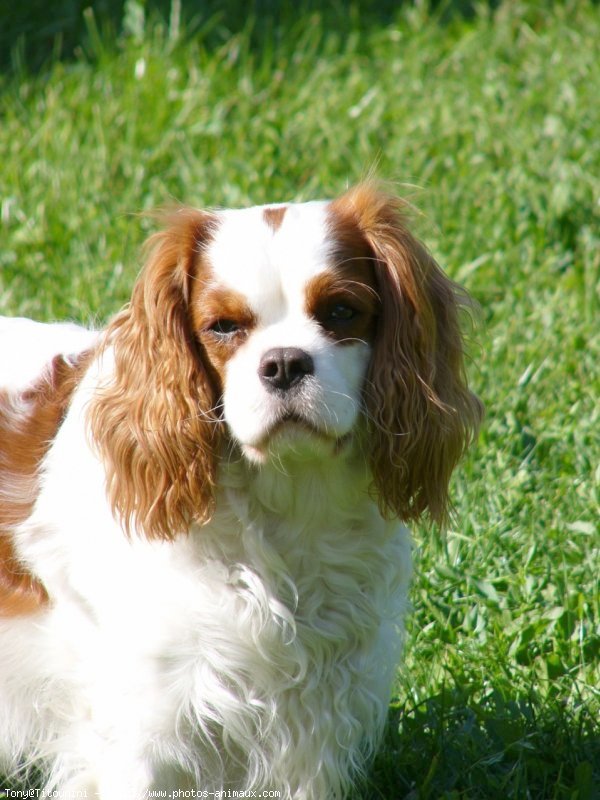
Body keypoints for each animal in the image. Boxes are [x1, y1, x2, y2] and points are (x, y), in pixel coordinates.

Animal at [0, 184, 480, 796]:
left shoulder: (315, 724)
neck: (285, 513)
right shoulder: (141, 731)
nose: (284, 363)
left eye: (341, 311)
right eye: (224, 326)